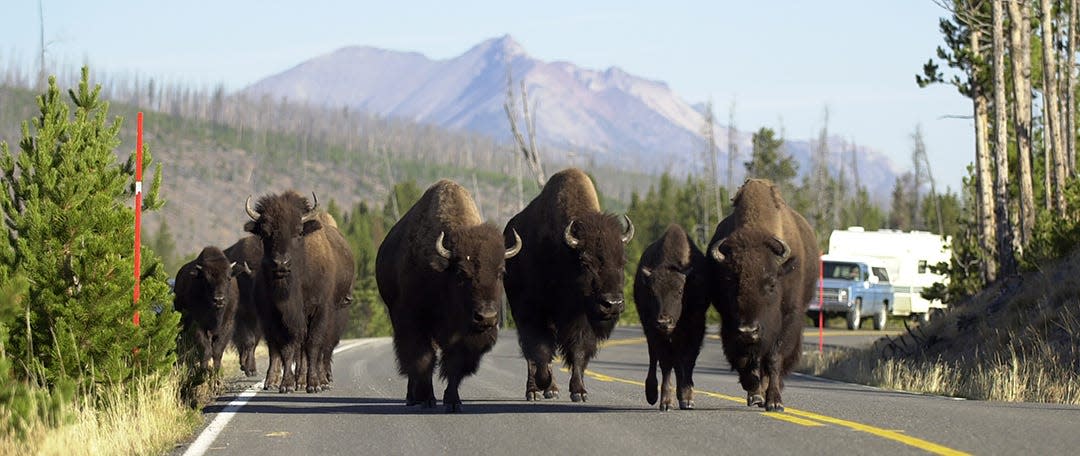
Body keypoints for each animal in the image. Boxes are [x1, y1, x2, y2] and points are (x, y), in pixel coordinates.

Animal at [244, 189, 354, 391]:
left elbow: (314, 345)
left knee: (319, 348)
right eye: (265, 233)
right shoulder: (279, 316)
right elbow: (287, 348)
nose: (281, 263)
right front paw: (286, 385)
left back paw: (319, 380)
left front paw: (315, 384)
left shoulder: (320, 311)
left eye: (298, 232)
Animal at [375, 179, 522, 412]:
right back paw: (412, 397)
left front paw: (453, 401)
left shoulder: (463, 335)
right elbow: (423, 359)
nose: (487, 317)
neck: (444, 275)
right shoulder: (415, 322)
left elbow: (455, 363)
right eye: (462, 272)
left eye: (501, 272)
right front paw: (427, 399)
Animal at [503, 168, 630, 401]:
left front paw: (579, 392)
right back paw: (535, 390)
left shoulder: (581, 317)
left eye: (622, 262)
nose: (613, 304)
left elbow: (578, 351)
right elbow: (541, 349)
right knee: (530, 353)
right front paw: (544, 383)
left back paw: (551, 389)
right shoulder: (537, 311)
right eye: (586, 262)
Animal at [630, 222, 708, 410]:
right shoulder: (655, 330)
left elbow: (687, 360)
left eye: (680, 291)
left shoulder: (696, 328)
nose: (664, 321)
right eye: (652, 292)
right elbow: (666, 363)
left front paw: (687, 398)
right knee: (654, 357)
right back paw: (652, 393)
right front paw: (666, 402)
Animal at [704, 179, 812, 412]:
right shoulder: (729, 324)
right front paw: (754, 392)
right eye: (731, 281)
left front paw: (774, 402)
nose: (748, 330)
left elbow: (773, 359)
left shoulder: (787, 320)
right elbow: (744, 360)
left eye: (771, 283)